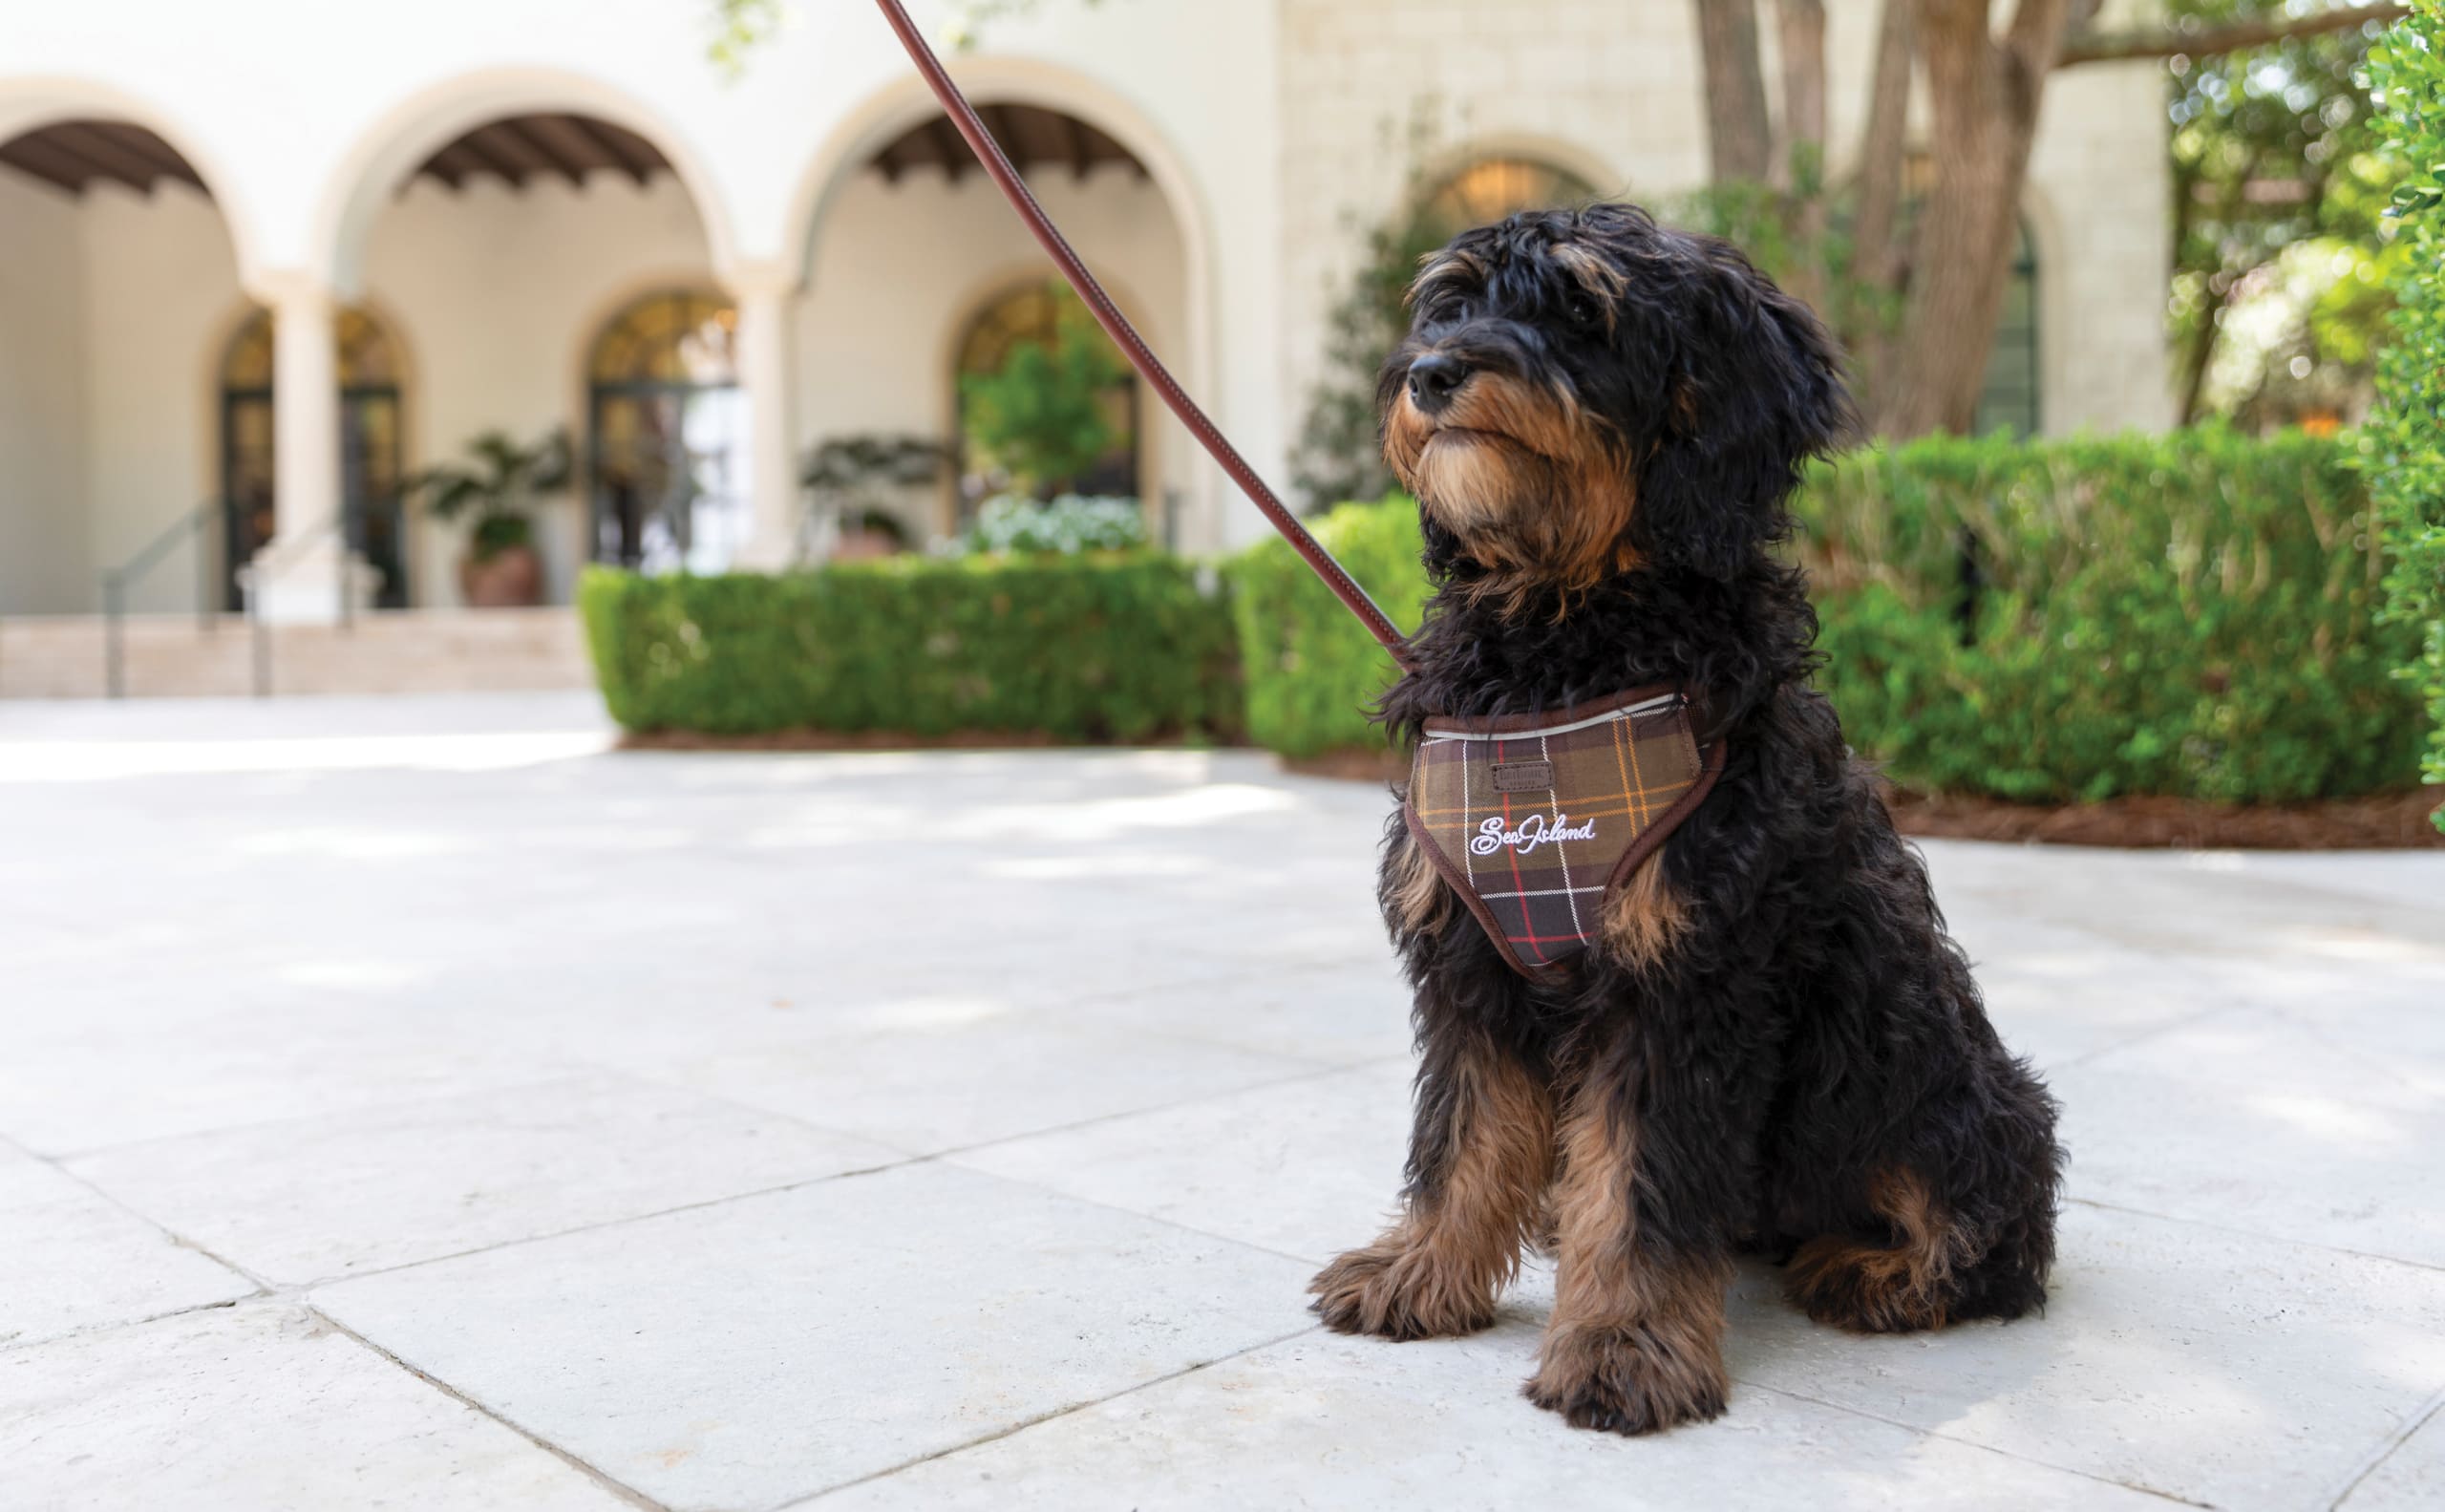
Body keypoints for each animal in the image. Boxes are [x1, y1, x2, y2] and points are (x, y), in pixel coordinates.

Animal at [1310, 202, 2053, 1438]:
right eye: (1452, 303)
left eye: (1581, 310)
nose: (1430, 374)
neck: (1564, 640)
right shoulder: (1470, 953)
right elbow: (1464, 1135)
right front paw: (1424, 1270)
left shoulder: (1687, 975)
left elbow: (1644, 1180)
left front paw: (1624, 1341)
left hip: (1932, 1075)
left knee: (1995, 1228)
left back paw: (1878, 1267)